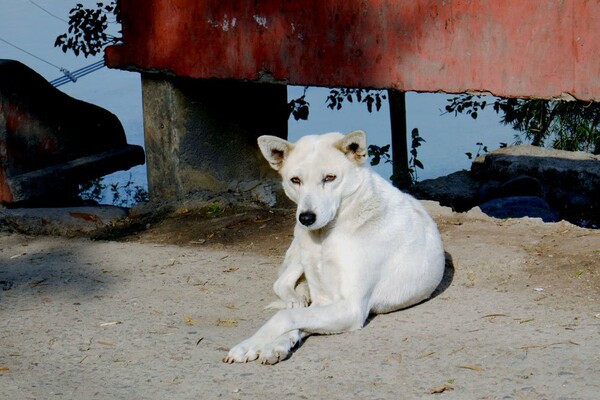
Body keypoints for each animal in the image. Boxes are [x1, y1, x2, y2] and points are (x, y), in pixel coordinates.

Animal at [223, 130, 442, 364]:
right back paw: (295, 300)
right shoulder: (325, 299)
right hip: (300, 251)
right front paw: (262, 343)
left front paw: (258, 344)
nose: (306, 218)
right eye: (295, 180)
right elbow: (294, 318)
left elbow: (287, 318)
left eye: (329, 178)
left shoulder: (351, 308)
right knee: (282, 283)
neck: (328, 235)